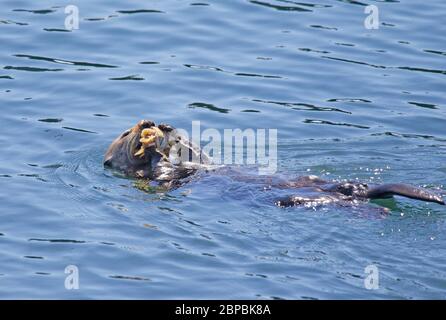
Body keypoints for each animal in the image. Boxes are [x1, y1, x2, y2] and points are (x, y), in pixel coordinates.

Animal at [103, 120, 442, 208]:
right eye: (124, 134)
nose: (147, 124)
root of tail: (357, 189)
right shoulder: (152, 176)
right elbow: (159, 173)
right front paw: (152, 151)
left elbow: (201, 158)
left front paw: (171, 134)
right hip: (299, 198)